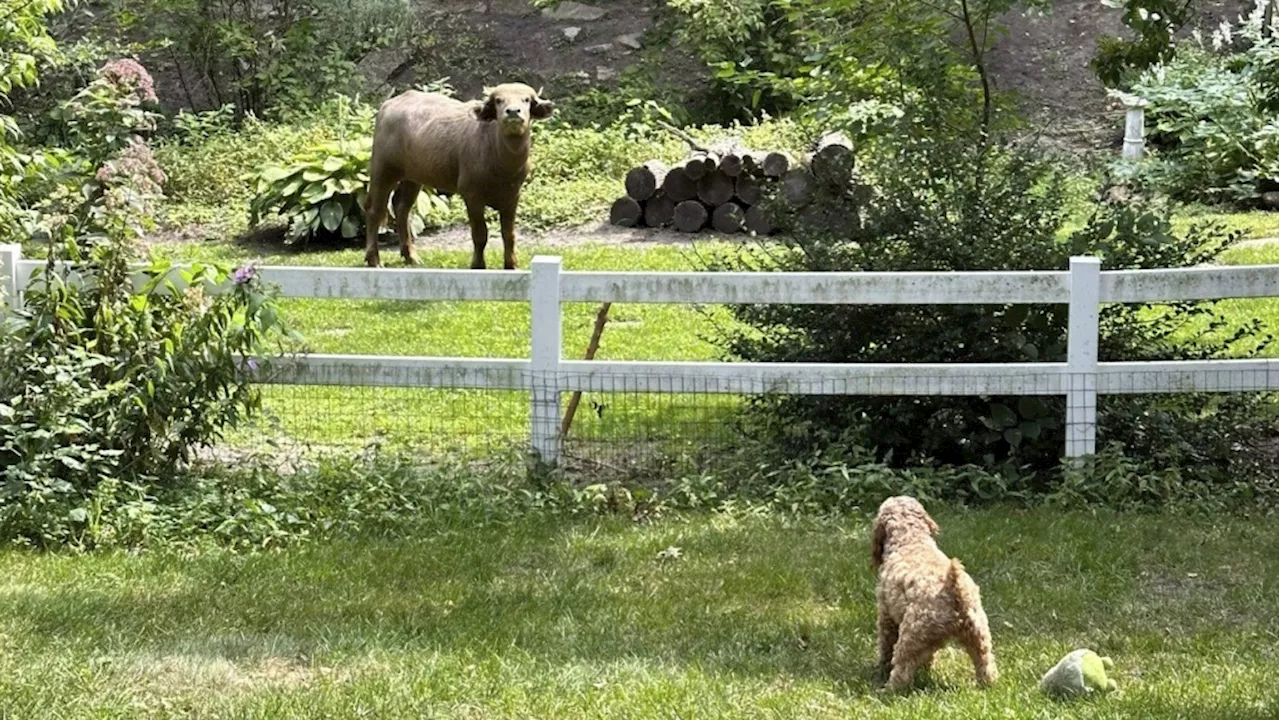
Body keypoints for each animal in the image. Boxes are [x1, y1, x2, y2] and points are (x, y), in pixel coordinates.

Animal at [870, 491, 998, 691]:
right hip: (979, 635)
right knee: (986, 664)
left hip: (910, 637)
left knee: (902, 670)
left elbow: (885, 646)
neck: (910, 539)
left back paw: (888, 689)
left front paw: (881, 668)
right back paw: (987, 685)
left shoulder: (886, 616)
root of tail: (953, 588)